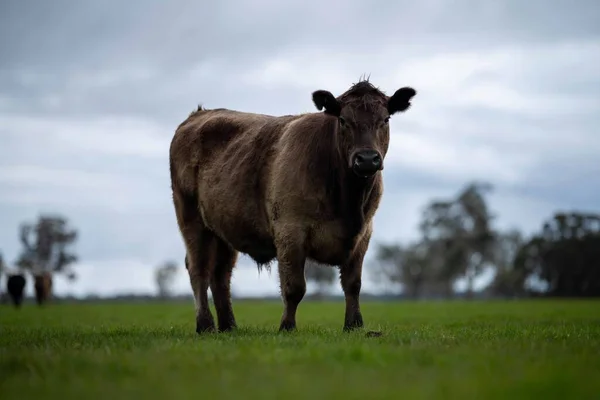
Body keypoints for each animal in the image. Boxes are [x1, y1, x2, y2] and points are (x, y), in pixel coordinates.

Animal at [169, 78, 418, 334]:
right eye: (343, 120)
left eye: (385, 119)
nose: (367, 159)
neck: (347, 200)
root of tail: (199, 114)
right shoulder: (290, 232)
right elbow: (295, 287)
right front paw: (287, 327)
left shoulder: (363, 234)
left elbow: (353, 284)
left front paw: (354, 325)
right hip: (190, 218)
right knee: (198, 270)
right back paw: (205, 325)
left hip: (224, 229)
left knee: (221, 275)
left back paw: (229, 326)